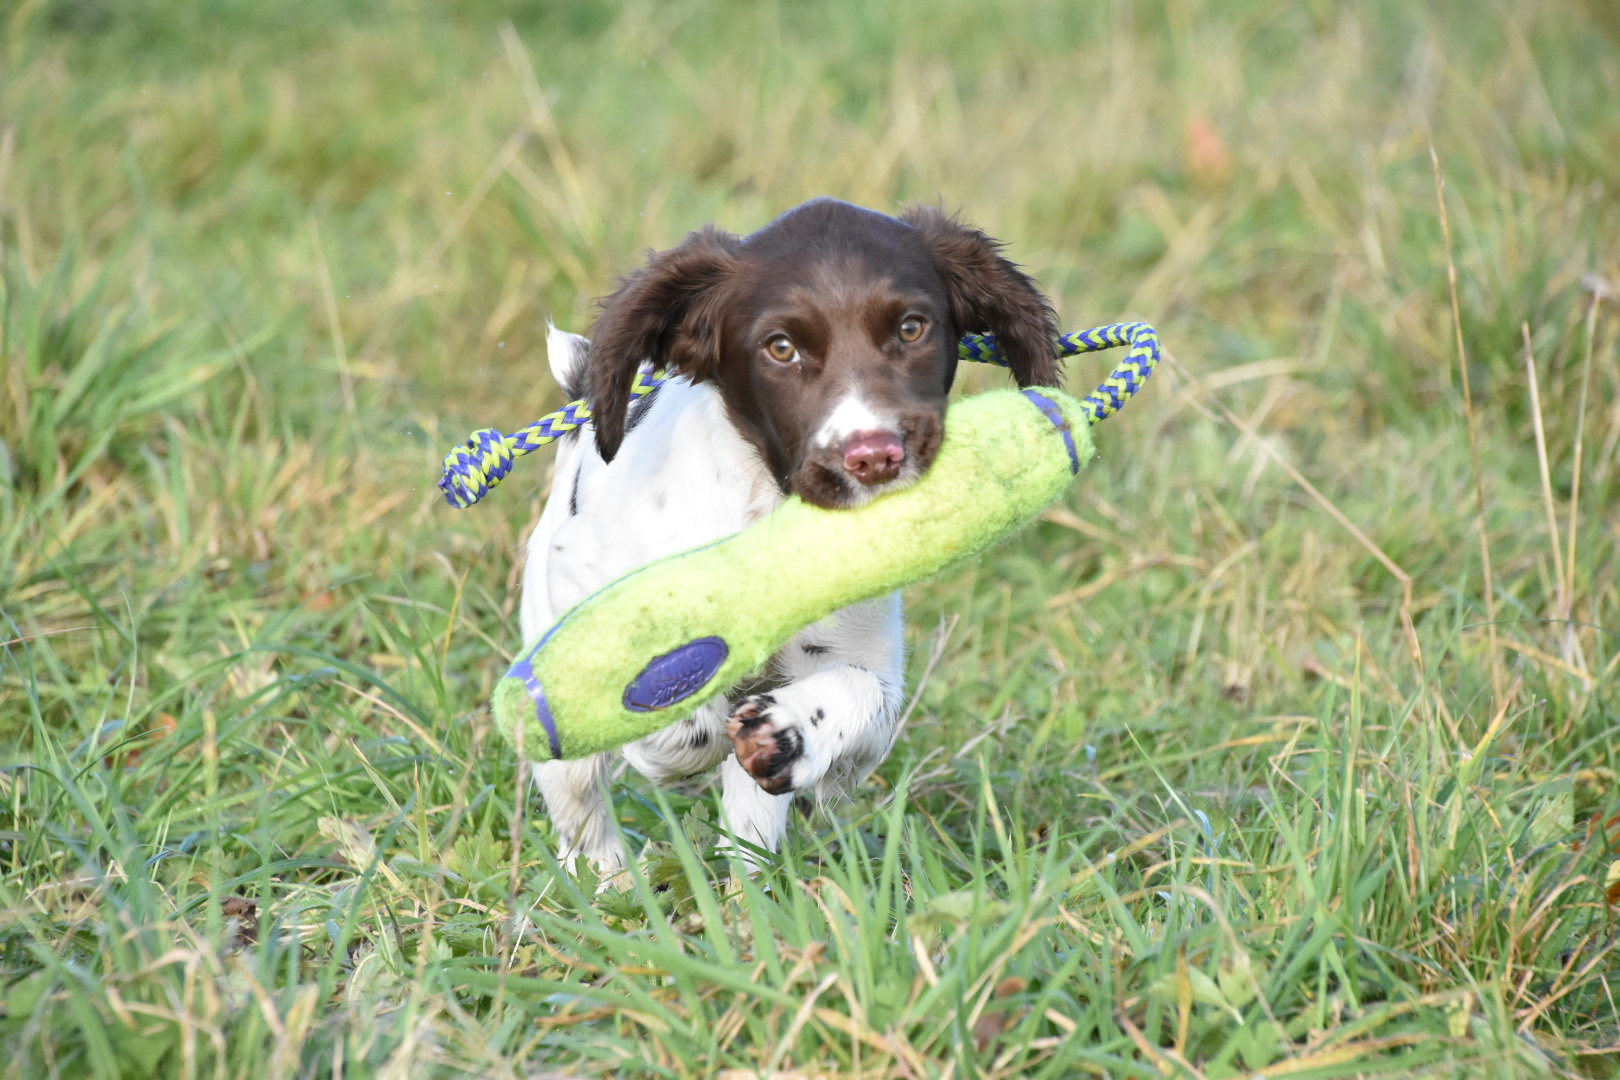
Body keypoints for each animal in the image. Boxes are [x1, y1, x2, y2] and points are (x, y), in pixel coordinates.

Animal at [518, 198, 1069, 874]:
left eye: (912, 329)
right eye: (780, 348)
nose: (874, 456)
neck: (772, 523)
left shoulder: (864, 664)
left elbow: (857, 694)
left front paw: (788, 732)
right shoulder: (584, 579)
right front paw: (675, 737)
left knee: (746, 841)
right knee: (585, 821)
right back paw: (610, 885)